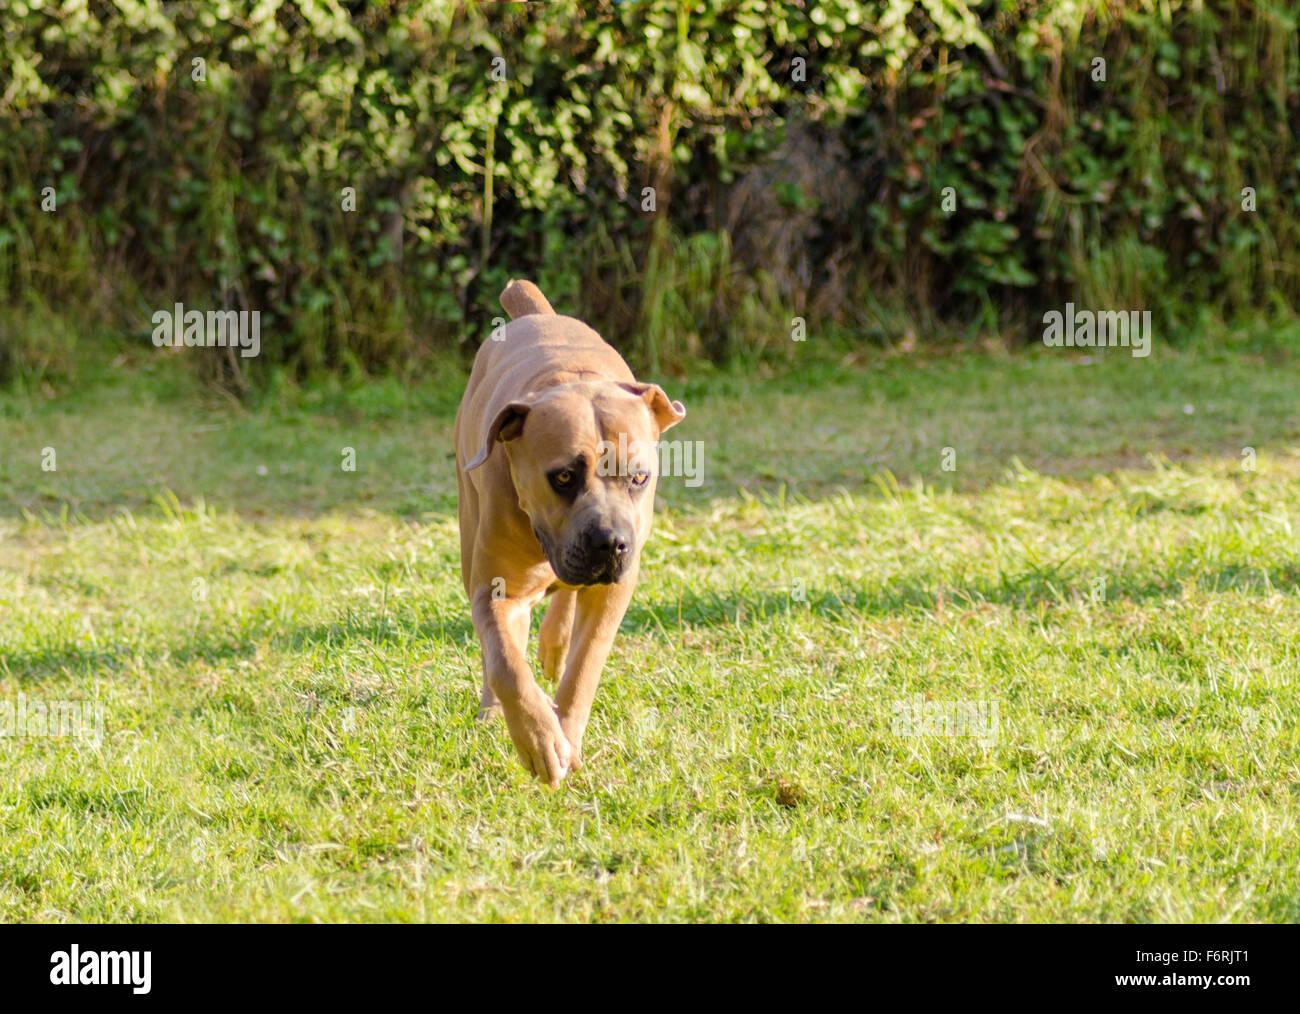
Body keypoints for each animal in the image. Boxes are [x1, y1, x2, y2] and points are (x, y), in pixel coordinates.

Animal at [454, 280, 686, 790]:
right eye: (562, 477)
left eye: (639, 477)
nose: (611, 543)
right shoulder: (496, 590)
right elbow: (505, 663)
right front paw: (540, 739)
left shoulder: (613, 591)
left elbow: (585, 667)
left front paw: (566, 732)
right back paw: (494, 710)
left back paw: (554, 645)